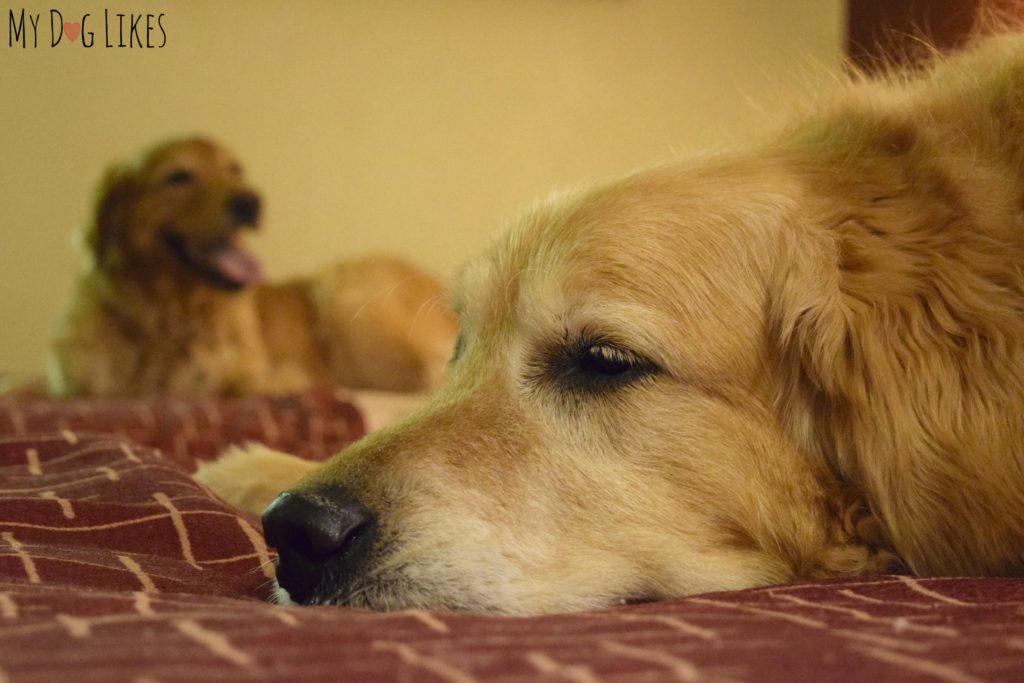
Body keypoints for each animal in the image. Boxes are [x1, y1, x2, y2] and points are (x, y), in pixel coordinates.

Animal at [48, 137, 456, 397]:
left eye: (235, 170)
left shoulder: (260, 373)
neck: (166, 321)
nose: (251, 201)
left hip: (347, 296)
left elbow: (236, 385)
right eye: (178, 176)